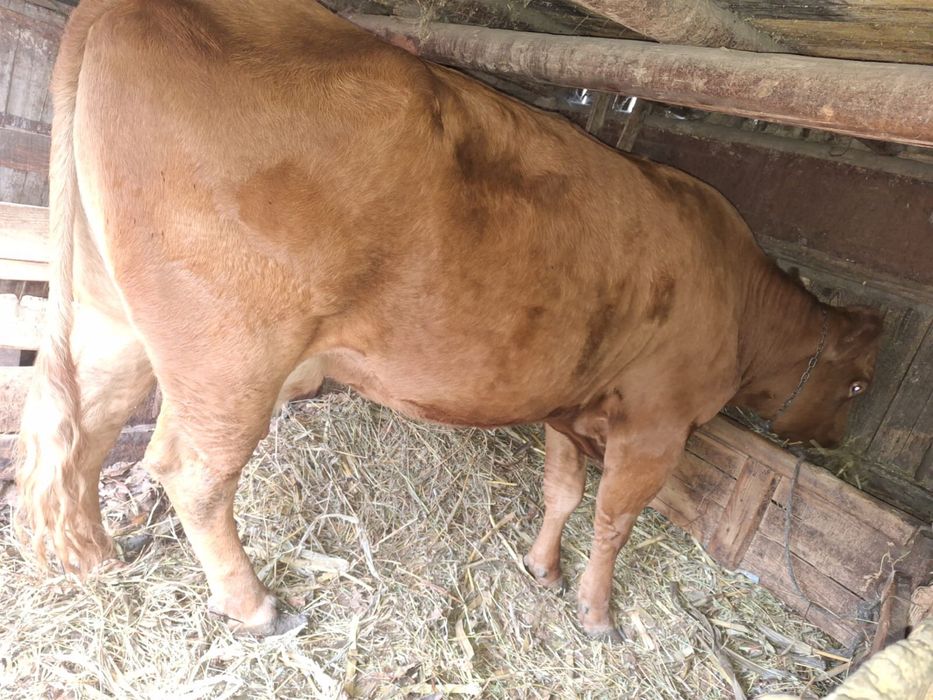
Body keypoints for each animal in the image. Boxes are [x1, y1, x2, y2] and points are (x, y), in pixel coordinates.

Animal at [16, 0, 882, 640]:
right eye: (857, 386)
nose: (832, 441)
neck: (737, 294)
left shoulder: (571, 401)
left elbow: (561, 491)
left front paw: (542, 568)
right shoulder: (658, 420)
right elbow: (613, 517)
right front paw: (596, 612)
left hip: (111, 316)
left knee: (77, 431)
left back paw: (97, 559)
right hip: (231, 354)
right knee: (190, 470)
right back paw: (255, 607)